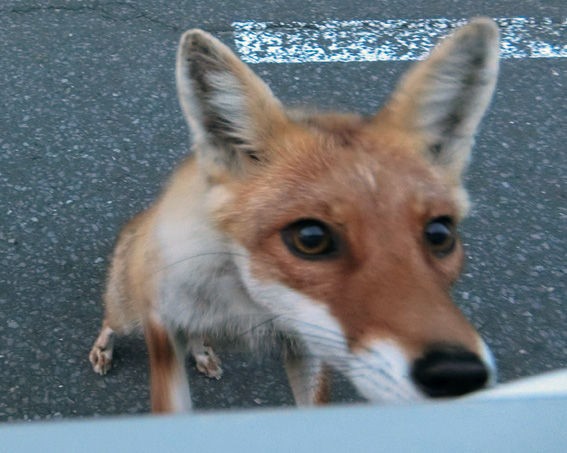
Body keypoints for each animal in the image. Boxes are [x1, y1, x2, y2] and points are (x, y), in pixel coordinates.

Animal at [89, 18, 502, 414]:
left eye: (440, 234)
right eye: (310, 239)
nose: (459, 374)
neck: (248, 306)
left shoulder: (304, 346)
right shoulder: (161, 324)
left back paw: (203, 351)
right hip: (128, 309)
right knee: (112, 319)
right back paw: (104, 348)